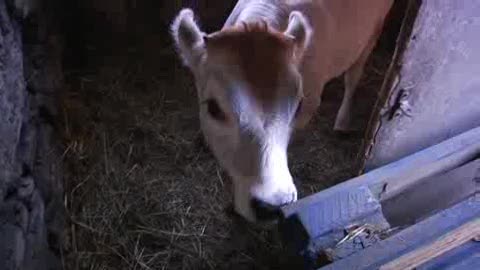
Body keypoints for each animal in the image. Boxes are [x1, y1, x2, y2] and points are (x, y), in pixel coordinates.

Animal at [172, 0, 394, 223]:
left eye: (298, 106)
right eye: (213, 107)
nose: (271, 206)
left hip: (373, 32)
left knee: (353, 76)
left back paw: (342, 120)